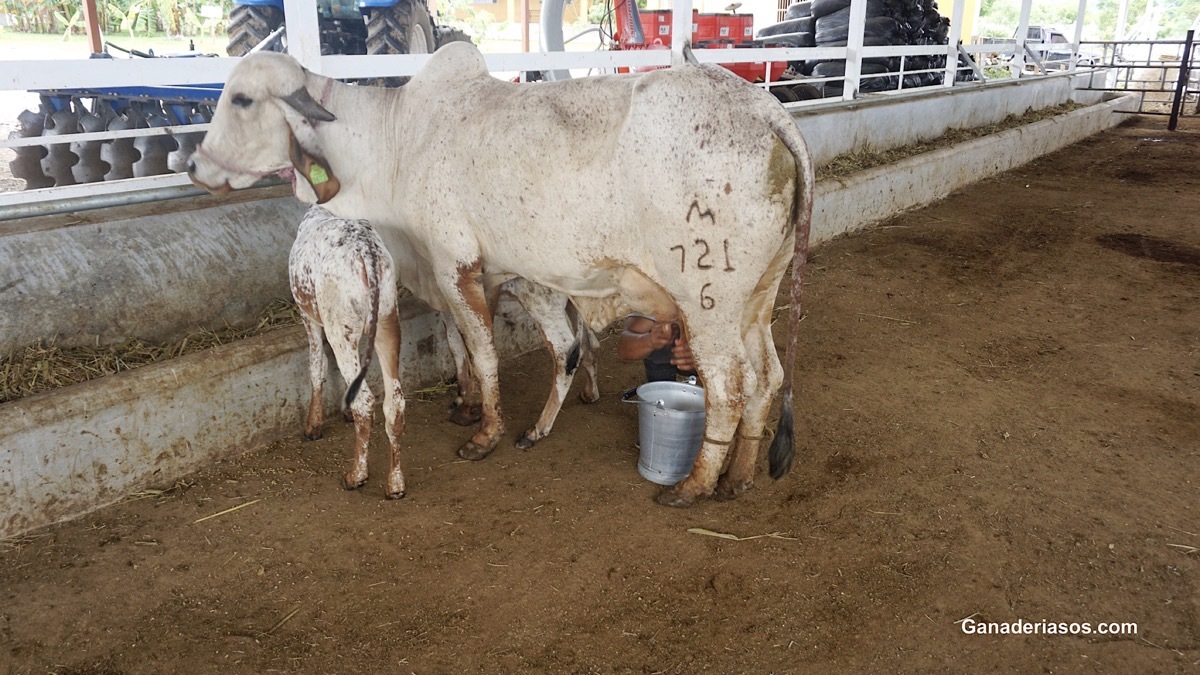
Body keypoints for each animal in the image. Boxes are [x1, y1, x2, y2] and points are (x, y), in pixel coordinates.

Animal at [189, 42, 816, 504]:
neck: (396, 140)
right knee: (767, 377)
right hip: (757, 297)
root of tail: (763, 108)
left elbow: (483, 351)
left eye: (241, 99)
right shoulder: (480, 274)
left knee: (729, 387)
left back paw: (695, 485)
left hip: (708, 298)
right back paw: (737, 476)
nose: (192, 164)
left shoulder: (453, 263)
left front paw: (483, 434)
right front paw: (469, 407)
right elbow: (466, 348)